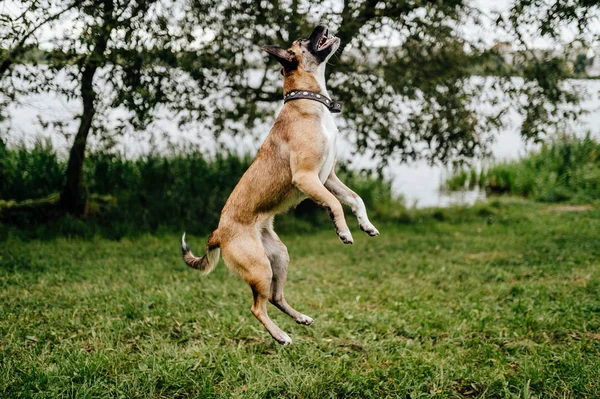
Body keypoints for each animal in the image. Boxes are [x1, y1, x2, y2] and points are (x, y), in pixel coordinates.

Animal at [182, 23, 380, 346]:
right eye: (302, 39)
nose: (321, 24)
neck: (307, 101)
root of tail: (218, 233)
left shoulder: (329, 178)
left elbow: (355, 199)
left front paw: (366, 225)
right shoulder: (307, 177)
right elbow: (336, 204)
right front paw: (343, 231)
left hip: (279, 257)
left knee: (276, 297)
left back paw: (300, 318)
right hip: (259, 267)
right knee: (257, 307)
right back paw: (280, 335)